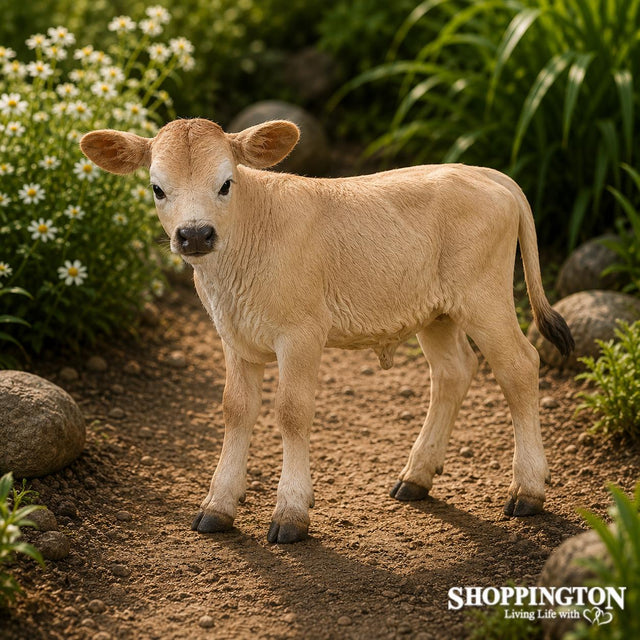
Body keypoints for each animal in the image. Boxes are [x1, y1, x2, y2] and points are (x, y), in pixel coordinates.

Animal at [80, 118, 574, 544]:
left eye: (225, 183)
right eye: (157, 188)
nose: (196, 235)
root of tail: (486, 173)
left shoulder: (301, 333)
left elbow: (292, 412)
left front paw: (291, 513)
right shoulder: (233, 337)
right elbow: (235, 408)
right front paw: (217, 506)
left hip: (484, 298)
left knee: (519, 366)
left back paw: (527, 491)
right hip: (436, 311)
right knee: (452, 372)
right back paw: (415, 477)